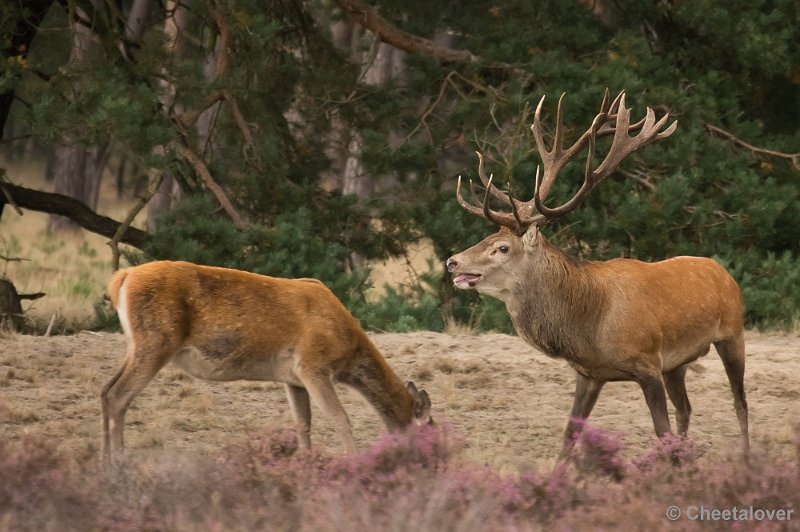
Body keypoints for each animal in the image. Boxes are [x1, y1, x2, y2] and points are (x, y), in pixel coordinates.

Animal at [104, 260, 434, 458]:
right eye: (430, 424)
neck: (349, 351)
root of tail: (121, 279)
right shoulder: (312, 364)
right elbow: (340, 418)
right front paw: (354, 460)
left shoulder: (293, 378)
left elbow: (303, 423)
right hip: (156, 340)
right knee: (119, 395)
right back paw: (118, 461)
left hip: (135, 344)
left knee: (106, 390)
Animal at [450, 90, 752, 458]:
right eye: (487, 237)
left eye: (502, 248)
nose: (452, 261)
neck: (590, 323)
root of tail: (723, 271)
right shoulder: (590, 374)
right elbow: (569, 435)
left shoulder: (647, 363)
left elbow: (660, 430)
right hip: (676, 363)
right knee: (687, 408)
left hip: (732, 333)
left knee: (739, 403)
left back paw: (746, 458)